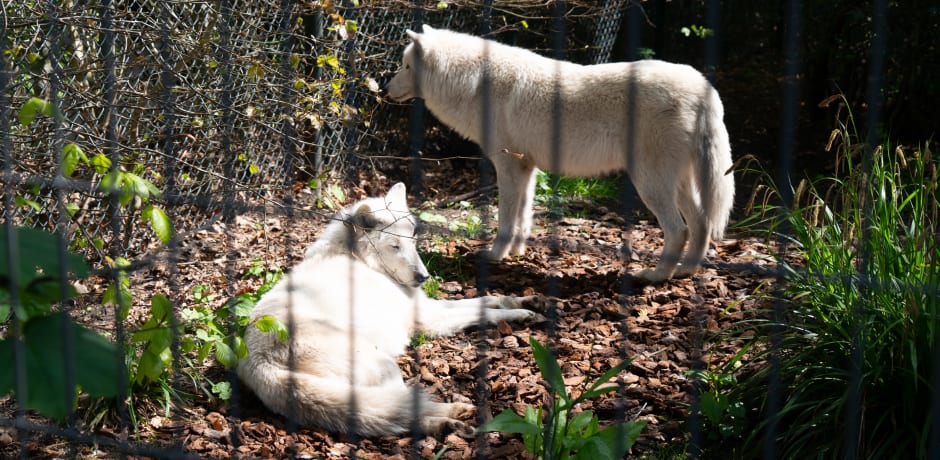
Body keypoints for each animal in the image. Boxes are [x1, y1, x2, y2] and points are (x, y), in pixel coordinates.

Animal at [236, 182, 541, 437]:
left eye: (412, 242)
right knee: (402, 406)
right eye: (394, 246)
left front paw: (526, 302)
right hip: (384, 366)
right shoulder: (430, 319)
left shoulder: (429, 306)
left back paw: (446, 424)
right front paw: (519, 316)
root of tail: (258, 364)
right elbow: (485, 312)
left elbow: (487, 300)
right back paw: (453, 414)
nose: (423, 277)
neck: (360, 260)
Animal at [386, 25, 735, 283]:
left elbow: (505, 219)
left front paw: (495, 255)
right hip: (677, 184)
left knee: (679, 229)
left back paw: (656, 276)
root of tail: (704, 88)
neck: (474, 83)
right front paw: (516, 252)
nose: (386, 89)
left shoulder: (507, 166)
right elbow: (523, 217)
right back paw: (686, 270)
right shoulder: (526, 168)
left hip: (649, 183)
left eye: (405, 66)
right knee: (701, 222)